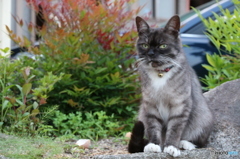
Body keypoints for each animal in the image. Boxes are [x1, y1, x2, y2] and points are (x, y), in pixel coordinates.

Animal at [127, 14, 214, 157]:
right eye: (145, 45)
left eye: (163, 46)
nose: (151, 54)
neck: (160, 74)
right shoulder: (150, 106)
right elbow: (153, 126)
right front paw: (153, 145)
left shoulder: (180, 105)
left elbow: (175, 129)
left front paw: (171, 147)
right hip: (142, 114)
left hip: (203, 117)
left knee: (200, 141)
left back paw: (185, 144)